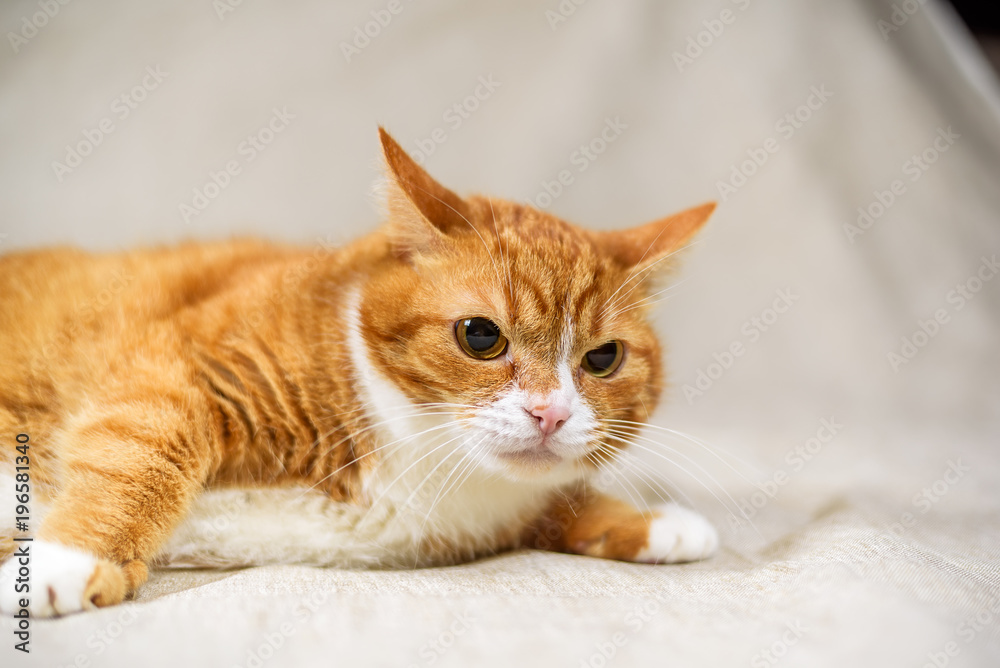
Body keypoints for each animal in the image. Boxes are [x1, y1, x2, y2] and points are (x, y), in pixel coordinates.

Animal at [1, 128, 720, 620]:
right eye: (481, 336)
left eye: (603, 358)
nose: (552, 412)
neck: (421, 459)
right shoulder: (181, 369)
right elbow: (138, 459)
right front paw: (70, 558)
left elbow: (563, 502)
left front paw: (650, 522)